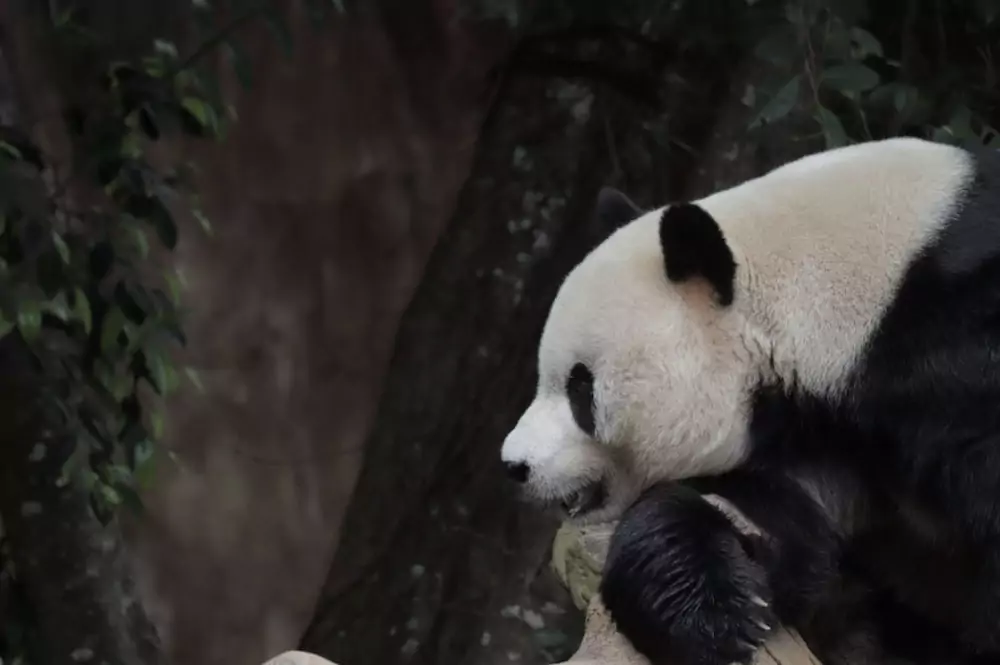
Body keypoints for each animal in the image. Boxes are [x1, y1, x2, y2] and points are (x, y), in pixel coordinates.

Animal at [499, 137, 1000, 665]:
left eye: (580, 388)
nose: (515, 465)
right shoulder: (822, 439)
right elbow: (777, 528)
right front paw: (712, 614)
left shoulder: (953, 356)